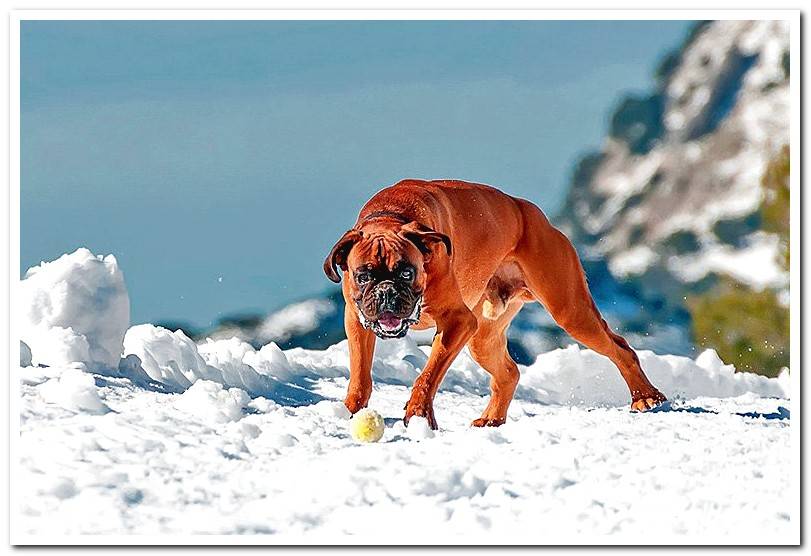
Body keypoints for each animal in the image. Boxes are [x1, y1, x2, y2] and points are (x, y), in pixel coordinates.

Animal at [324, 180, 668, 428]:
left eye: (407, 273)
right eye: (364, 276)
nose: (386, 292)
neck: (391, 216)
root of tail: (534, 215)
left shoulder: (457, 322)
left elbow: (428, 375)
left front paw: (419, 414)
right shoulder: (356, 322)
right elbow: (360, 374)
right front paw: (350, 410)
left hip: (570, 313)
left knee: (620, 348)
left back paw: (646, 397)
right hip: (482, 339)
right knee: (509, 373)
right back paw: (492, 418)